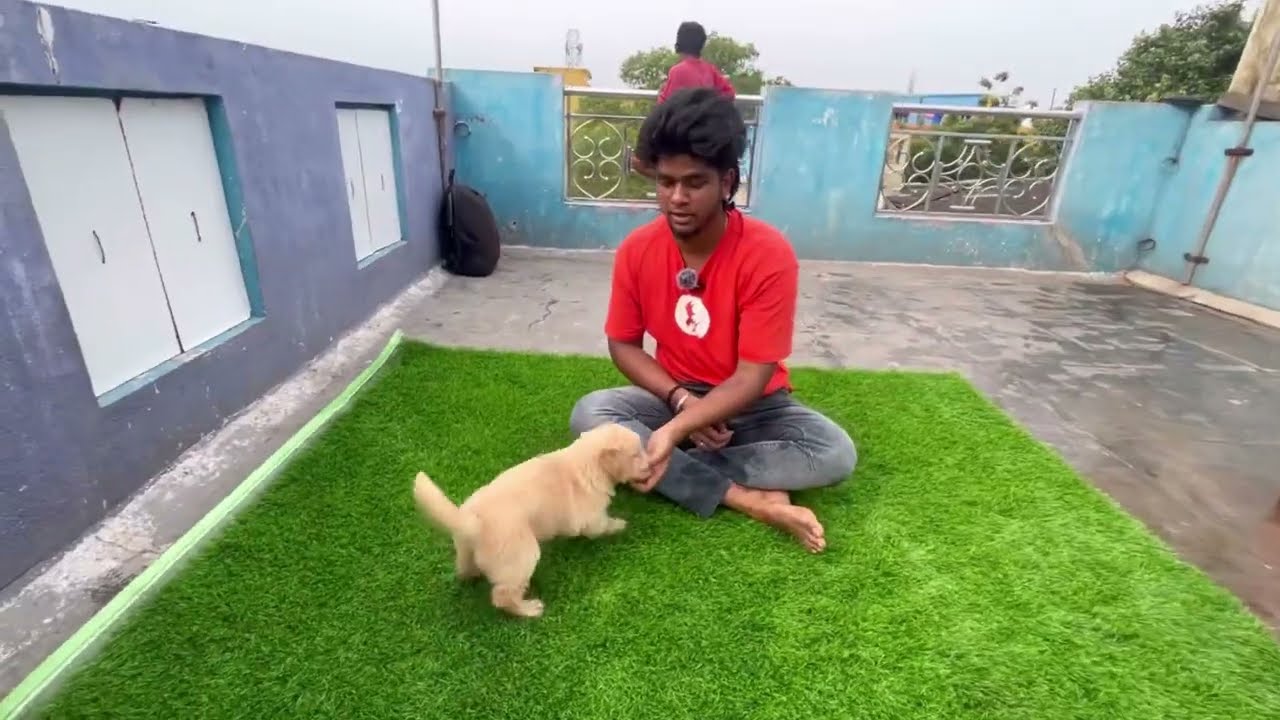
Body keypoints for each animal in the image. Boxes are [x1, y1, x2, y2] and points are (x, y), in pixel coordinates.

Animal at [412, 420, 650, 617]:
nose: (650, 465)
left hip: (466, 549)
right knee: (503, 595)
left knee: (465, 568)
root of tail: (470, 522)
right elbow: (604, 525)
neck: (588, 463)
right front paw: (621, 525)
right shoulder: (591, 518)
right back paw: (529, 609)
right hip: (521, 556)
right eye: (636, 455)